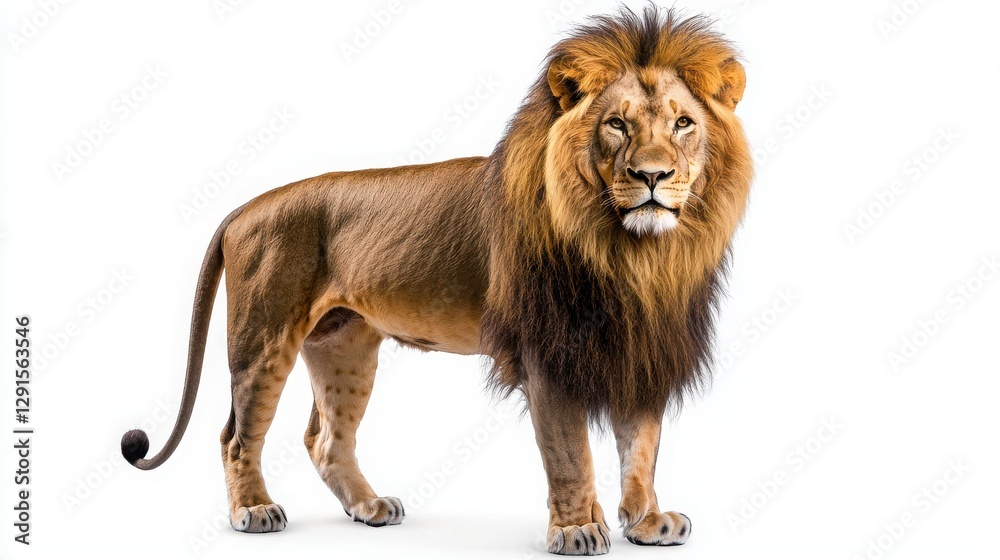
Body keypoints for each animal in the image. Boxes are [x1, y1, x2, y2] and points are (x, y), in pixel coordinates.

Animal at [120, 6, 752, 555]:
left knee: (326, 439)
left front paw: (647, 520)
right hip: (263, 337)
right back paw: (253, 510)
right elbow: (571, 452)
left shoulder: (642, 346)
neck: (634, 255)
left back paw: (370, 508)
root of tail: (243, 208)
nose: (653, 176)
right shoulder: (545, 353)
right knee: (236, 435)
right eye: (617, 125)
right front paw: (577, 529)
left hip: (345, 345)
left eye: (683, 123)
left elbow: (641, 445)